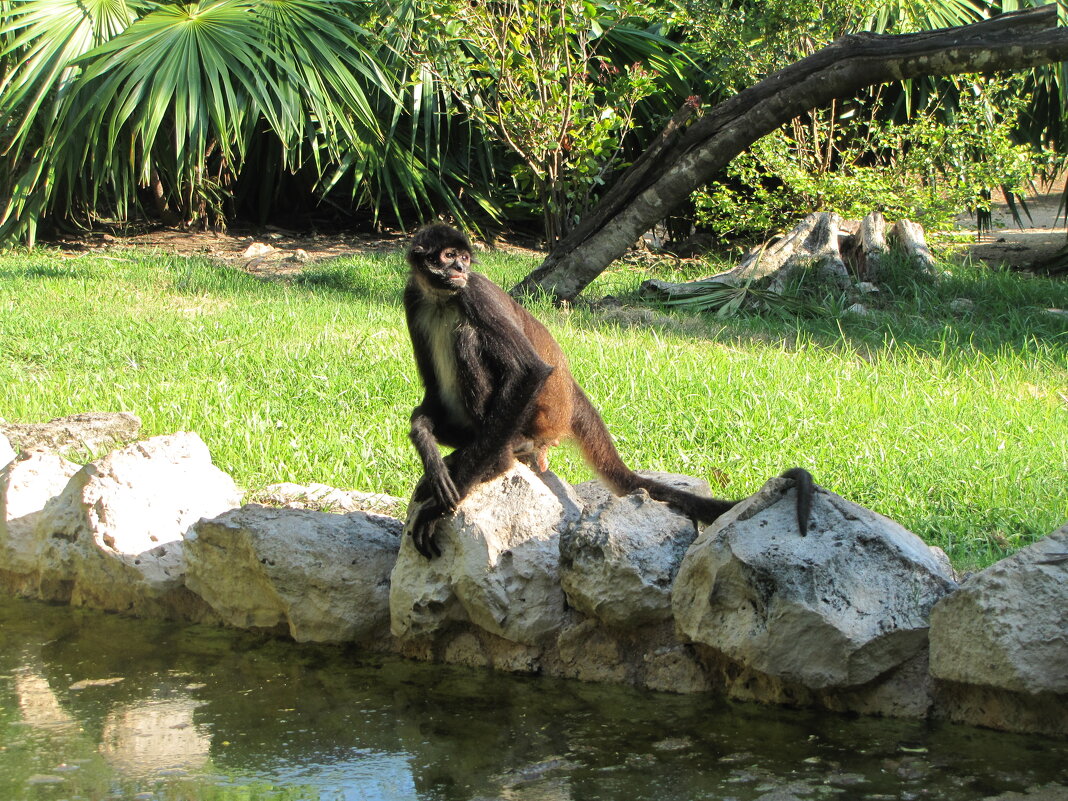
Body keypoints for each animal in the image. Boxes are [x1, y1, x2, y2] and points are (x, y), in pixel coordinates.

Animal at [401, 220, 807, 559]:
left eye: (464, 259)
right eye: (448, 257)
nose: (460, 269)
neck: (441, 298)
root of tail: (571, 393)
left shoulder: (475, 291)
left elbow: (530, 371)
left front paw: (441, 503)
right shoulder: (414, 298)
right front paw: (425, 442)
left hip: (536, 416)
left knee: (468, 336)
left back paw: (493, 460)